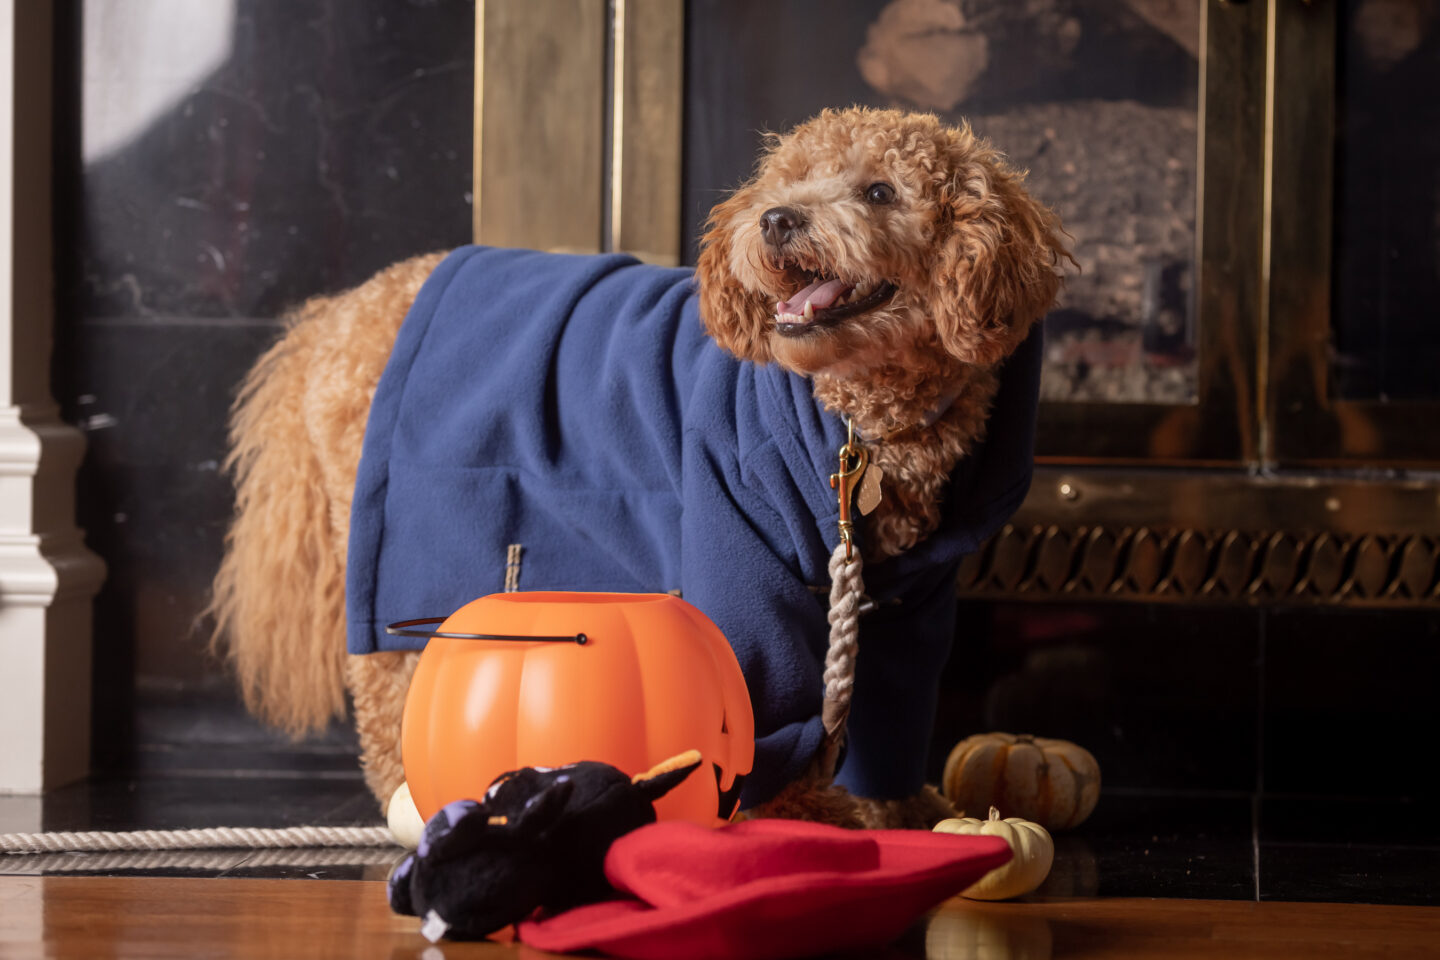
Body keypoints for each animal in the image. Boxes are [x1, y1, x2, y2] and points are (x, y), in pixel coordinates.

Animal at [210, 108, 1071, 834]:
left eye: (881, 191)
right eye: (787, 182)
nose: (777, 219)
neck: (861, 418)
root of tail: (339, 313)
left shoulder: (911, 599)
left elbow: (897, 702)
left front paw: (897, 807)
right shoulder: (741, 549)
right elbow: (766, 691)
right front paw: (803, 811)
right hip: (405, 535)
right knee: (392, 686)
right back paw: (418, 800)